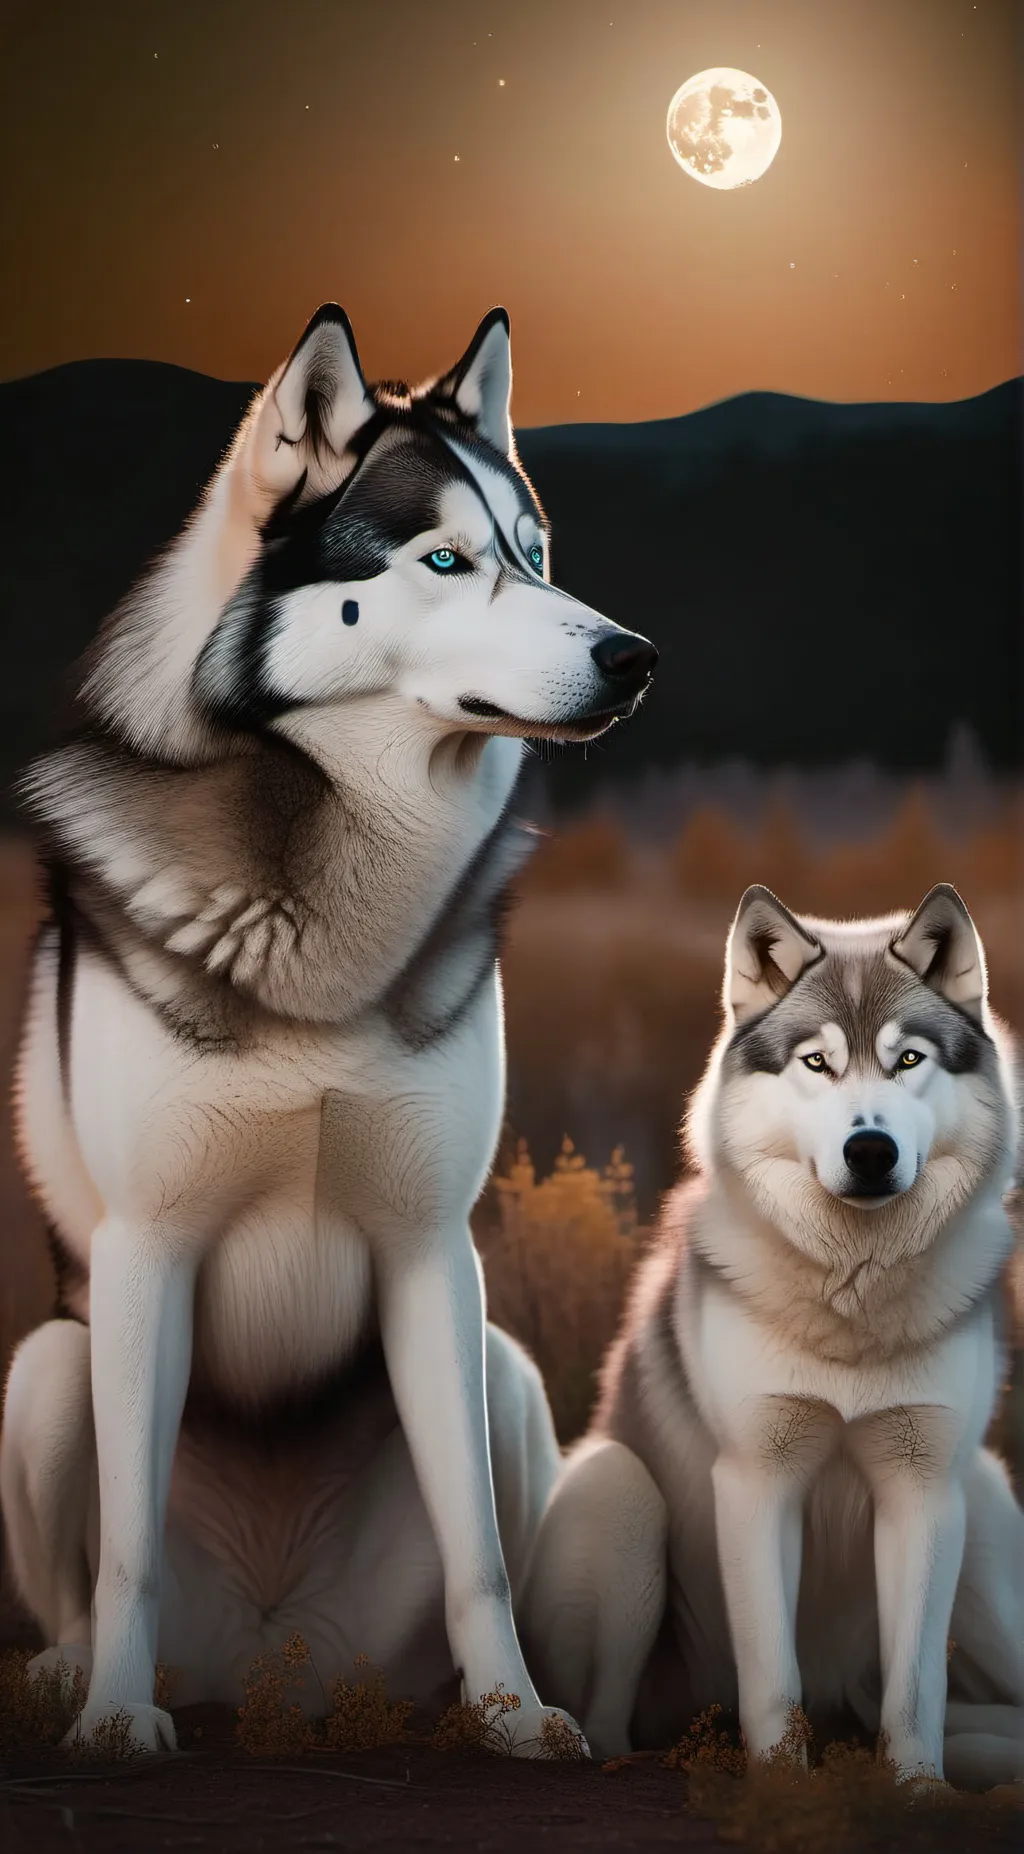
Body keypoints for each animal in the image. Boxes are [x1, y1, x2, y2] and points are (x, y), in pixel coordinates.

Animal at [0, 303, 657, 1753]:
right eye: (447, 559)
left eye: (535, 555)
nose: (634, 657)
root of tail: (271, 1664)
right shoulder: (145, 1254)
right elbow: (124, 1547)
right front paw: (117, 1721)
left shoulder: (430, 1253)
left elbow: (479, 1549)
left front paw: (514, 1713)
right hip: (49, 1365)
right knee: (81, 1572)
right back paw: (74, 1676)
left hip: (505, 1365)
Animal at [524, 883, 1024, 1786]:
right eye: (816, 1063)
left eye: (908, 1060)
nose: (871, 1149)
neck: (852, 1297)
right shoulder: (758, 1481)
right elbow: (773, 1673)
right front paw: (783, 1784)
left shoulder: (924, 1489)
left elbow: (917, 1687)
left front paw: (917, 1788)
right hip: (622, 1493)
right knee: (608, 1723)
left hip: (986, 1525)